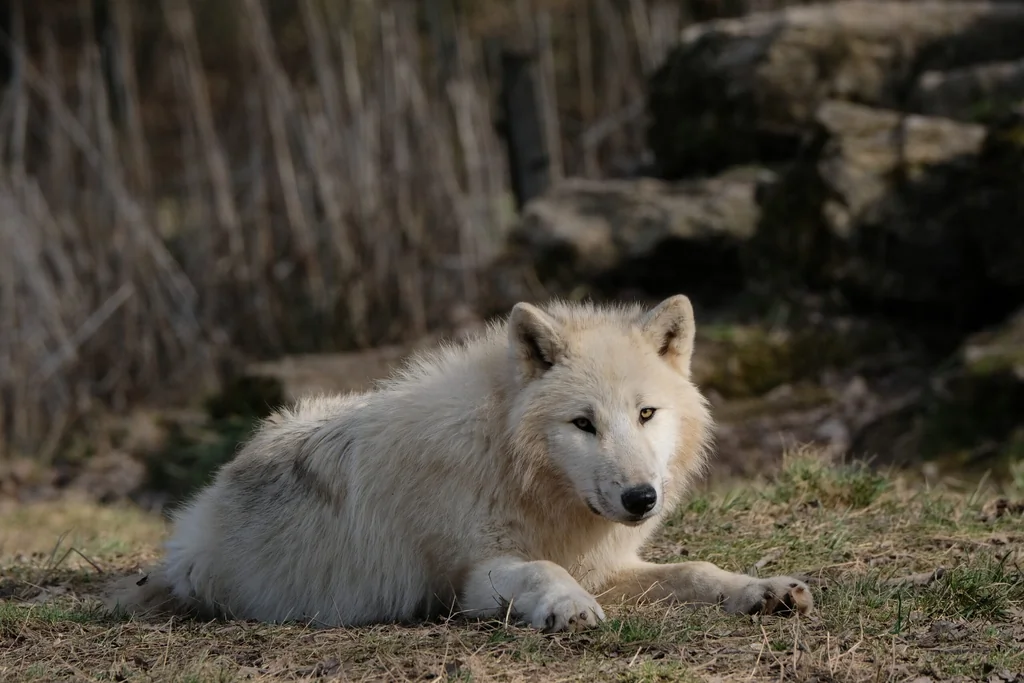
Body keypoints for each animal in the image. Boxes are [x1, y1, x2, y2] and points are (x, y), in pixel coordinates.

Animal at [106, 294, 812, 632]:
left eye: (646, 414)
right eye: (582, 423)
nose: (642, 499)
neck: (513, 467)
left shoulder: (611, 565)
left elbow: (698, 570)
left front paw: (762, 590)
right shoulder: (469, 578)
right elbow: (544, 570)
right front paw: (567, 606)